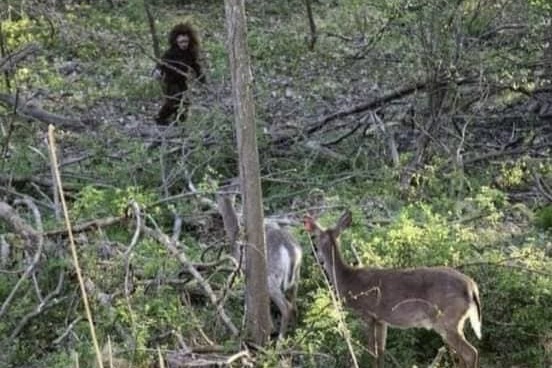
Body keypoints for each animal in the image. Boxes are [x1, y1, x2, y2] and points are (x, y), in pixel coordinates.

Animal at [217, 193, 302, 340]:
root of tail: (292, 251)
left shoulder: (244, 269)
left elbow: (249, 298)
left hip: (272, 277)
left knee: (286, 307)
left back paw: (280, 340)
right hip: (296, 278)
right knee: (294, 305)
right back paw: (295, 333)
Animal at [304, 210, 480, 368]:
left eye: (314, 237)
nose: (314, 254)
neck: (347, 280)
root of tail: (471, 287)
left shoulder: (368, 314)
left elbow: (372, 351)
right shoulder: (381, 319)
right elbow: (381, 351)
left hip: (446, 320)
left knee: (470, 353)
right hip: (456, 321)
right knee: (461, 355)